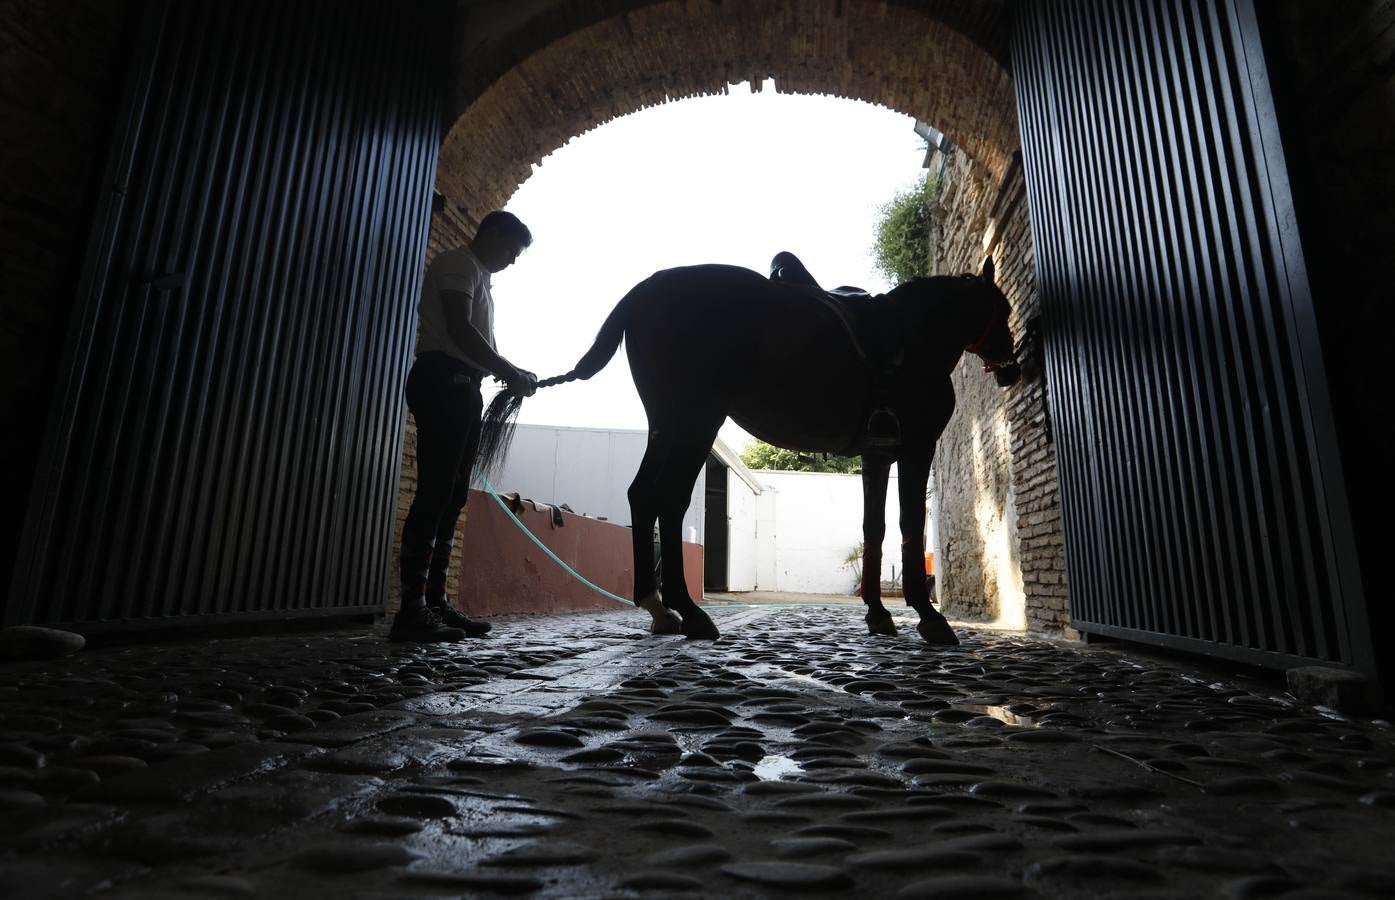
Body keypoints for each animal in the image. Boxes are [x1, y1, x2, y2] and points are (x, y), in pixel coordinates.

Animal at [485, 256, 1021, 641]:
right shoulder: (915, 448)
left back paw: (660, 608)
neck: (914, 337)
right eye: (1002, 309)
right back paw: (689, 612)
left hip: (670, 424)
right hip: (696, 420)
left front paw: (877, 613)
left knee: (643, 495)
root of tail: (646, 289)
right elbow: (909, 526)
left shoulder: (877, 453)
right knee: (669, 500)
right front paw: (929, 617)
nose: (1012, 368)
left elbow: (875, 529)